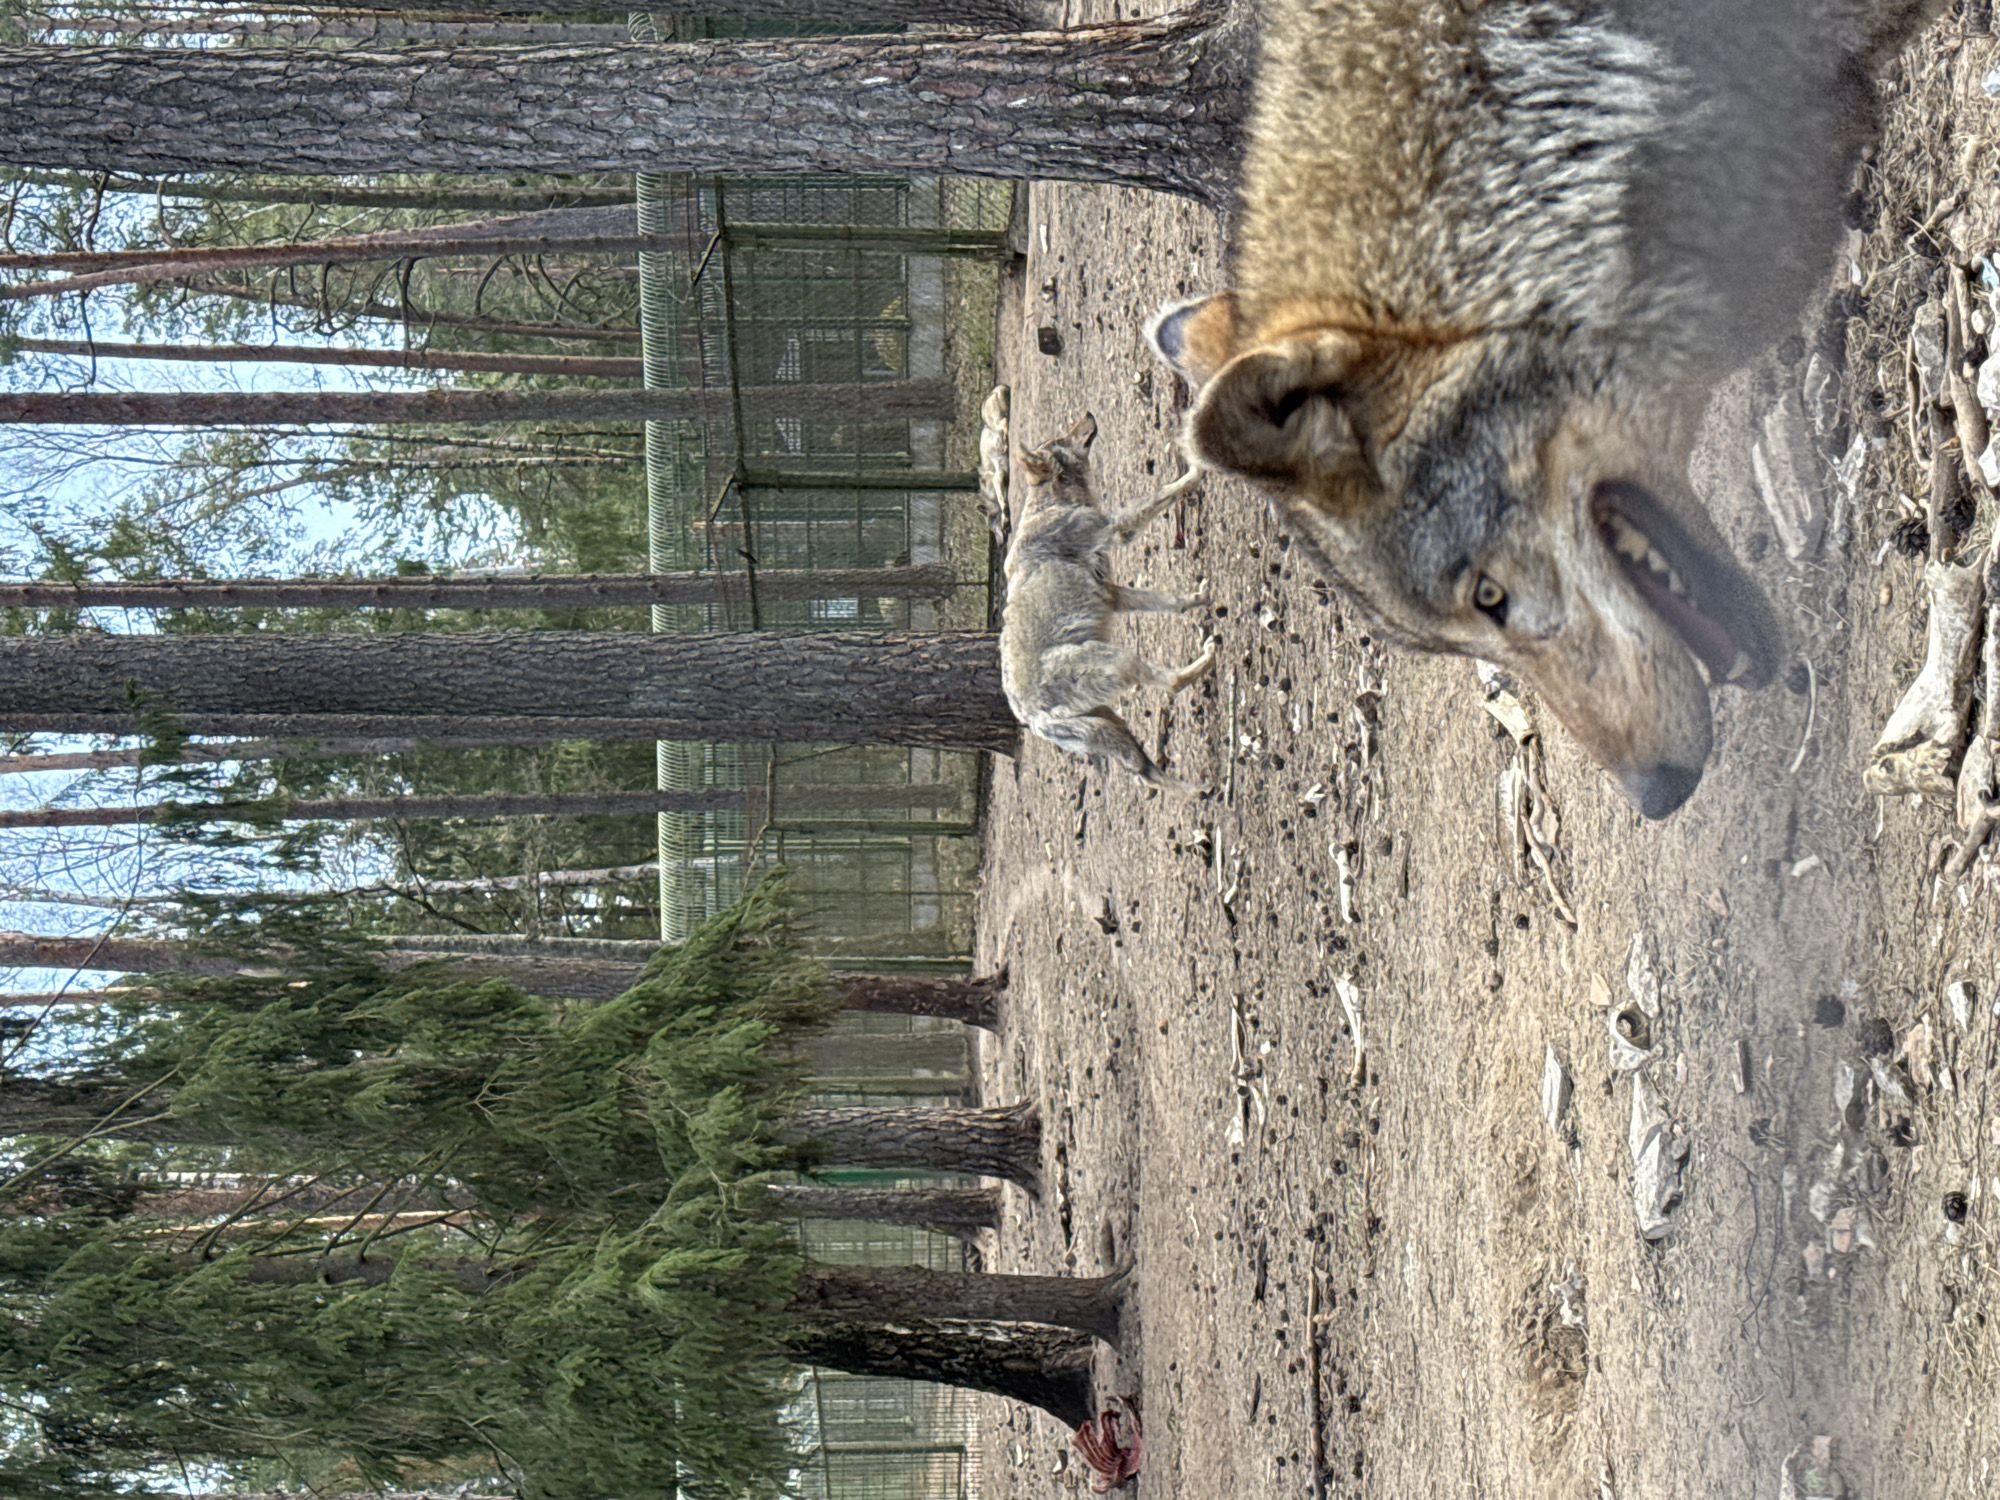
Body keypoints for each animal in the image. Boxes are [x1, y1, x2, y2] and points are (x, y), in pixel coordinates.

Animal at [1000, 413, 1217, 791]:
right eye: (1062, 437)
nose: (1088, 414)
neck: (1055, 500)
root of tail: (1028, 716)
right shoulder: (1115, 530)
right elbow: (1164, 491)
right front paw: (1194, 473)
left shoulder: (1113, 594)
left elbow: (1170, 601)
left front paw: (1198, 598)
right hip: (1118, 663)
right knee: (1172, 685)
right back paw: (1205, 660)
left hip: (1112, 725)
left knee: (1148, 775)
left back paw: (1199, 791)